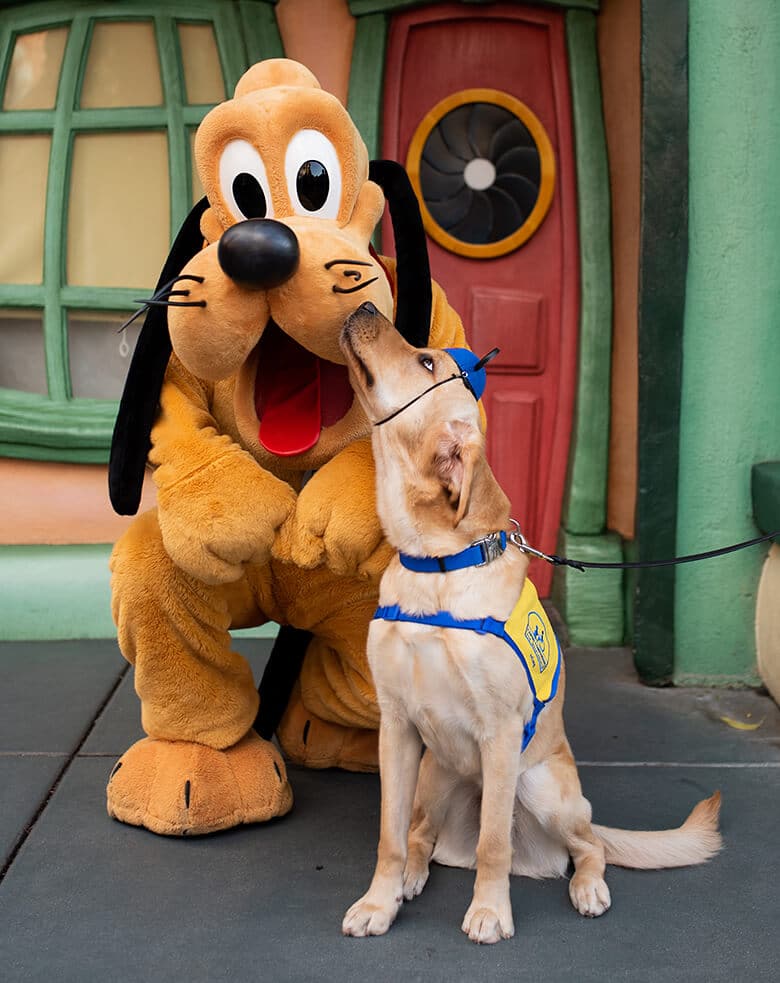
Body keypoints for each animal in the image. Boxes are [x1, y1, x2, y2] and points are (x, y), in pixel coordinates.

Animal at [338, 302, 724, 944]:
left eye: (426, 361)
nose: (366, 306)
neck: (434, 566)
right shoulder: (396, 727)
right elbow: (389, 837)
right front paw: (378, 902)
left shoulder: (499, 733)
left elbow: (493, 845)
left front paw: (490, 911)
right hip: (435, 775)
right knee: (419, 835)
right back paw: (413, 875)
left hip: (543, 787)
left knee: (588, 848)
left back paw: (588, 887)